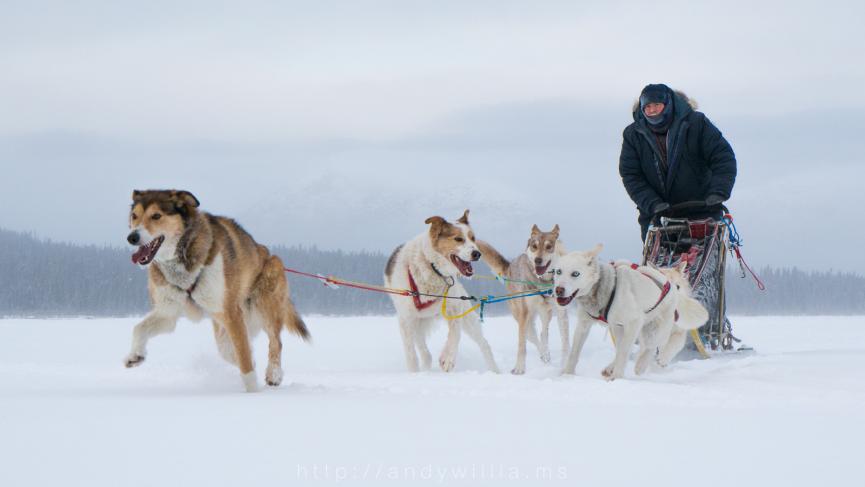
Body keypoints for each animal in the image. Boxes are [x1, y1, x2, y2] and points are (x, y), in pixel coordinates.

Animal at [123, 191, 308, 392]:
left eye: (156, 216)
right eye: (134, 216)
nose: (132, 237)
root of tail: (267, 253)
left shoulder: (231, 313)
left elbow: (246, 360)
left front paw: (253, 391)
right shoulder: (168, 312)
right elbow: (138, 328)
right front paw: (135, 355)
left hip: (264, 304)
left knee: (275, 342)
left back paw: (274, 374)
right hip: (223, 324)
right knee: (228, 348)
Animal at [384, 212, 500, 376]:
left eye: (473, 238)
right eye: (458, 239)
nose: (477, 253)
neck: (433, 268)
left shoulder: (455, 307)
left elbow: (455, 334)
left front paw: (448, 358)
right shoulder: (406, 319)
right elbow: (411, 354)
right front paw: (414, 373)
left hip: (467, 319)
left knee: (484, 344)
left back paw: (495, 371)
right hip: (417, 323)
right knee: (424, 351)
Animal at [552, 244, 708, 382]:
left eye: (575, 274)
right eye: (558, 271)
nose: (558, 290)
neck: (606, 289)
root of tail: (669, 286)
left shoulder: (634, 322)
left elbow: (624, 352)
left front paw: (617, 378)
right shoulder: (583, 325)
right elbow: (574, 353)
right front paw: (567, 375)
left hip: (655, 329)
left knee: (650, 347)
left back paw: (640, 365)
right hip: (619, 328)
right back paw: (611, 368)